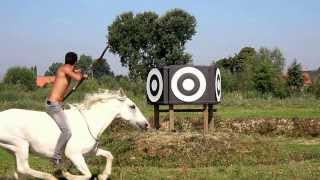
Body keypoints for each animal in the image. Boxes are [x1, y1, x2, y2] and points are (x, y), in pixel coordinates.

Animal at [0, 89, 149, 179]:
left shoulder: (91, 151)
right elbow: (87, 174)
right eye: (132, 106)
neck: (89, 122)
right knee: (23, 168)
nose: (147, 124)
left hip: (13, 149)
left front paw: (103, 175)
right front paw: (67, 174)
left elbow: (109, 155)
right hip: (21, 146)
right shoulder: (74, 155)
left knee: (19, 171)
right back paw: (52, 176)